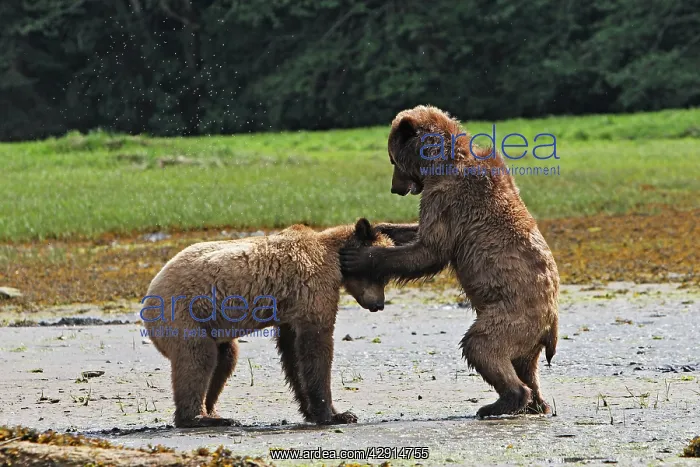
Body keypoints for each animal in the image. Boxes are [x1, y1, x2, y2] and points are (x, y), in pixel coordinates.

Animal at [140, 218, 394, 428]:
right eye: (380, 274)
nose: (379, 304)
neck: (334, 258)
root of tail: (150, 293)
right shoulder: (313, 289)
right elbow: (316, 348)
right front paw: (335, 414)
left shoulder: (291, 310)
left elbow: (293, 355)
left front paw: (314, 411)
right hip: (186, 315)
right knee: (197, 359)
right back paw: (201, 418)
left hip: (212, 326)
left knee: (224, 359)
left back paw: (213, 412)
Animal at [340, 105, 559, 418]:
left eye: (392, 159)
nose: (395, 188)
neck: (441, 162)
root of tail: (550, 326)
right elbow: (416, 232)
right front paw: (379, 228)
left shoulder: (449, 200)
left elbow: (429, 250)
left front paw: (358, 256)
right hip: (527, 336)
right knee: (525, 365)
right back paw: (537, 403)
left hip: (512, 314)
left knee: (481, 346)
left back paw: (500, 403)